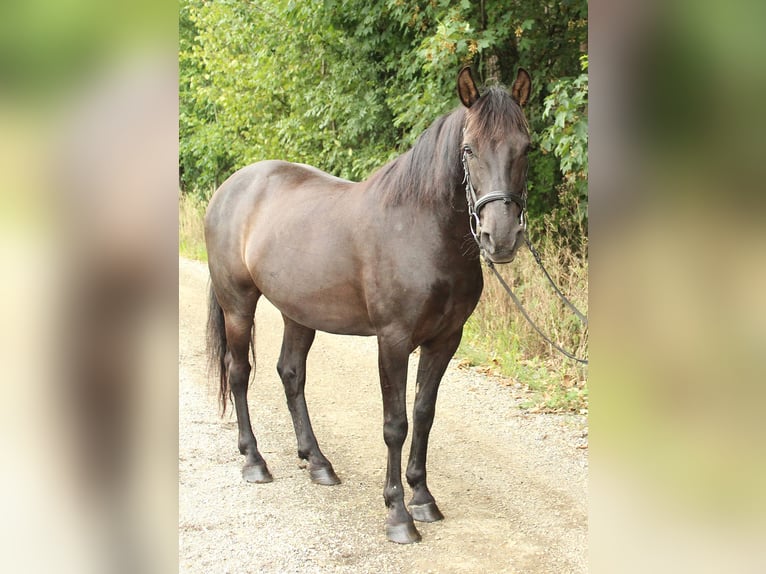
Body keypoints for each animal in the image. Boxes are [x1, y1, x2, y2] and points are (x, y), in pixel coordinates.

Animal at [204, 66, 532, 544]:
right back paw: (254, 461)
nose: (501, 237)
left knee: (291, 374)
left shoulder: (445, 340)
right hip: (238, 305)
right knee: (239, 373)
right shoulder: (392, 341)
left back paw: (318, 462)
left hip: (298, 313)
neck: (419, 228)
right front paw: (398, 514)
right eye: (468, 149)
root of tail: (230, 187)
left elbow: (424, 414)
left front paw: (423, 497)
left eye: (526, 147)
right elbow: (395, 424)